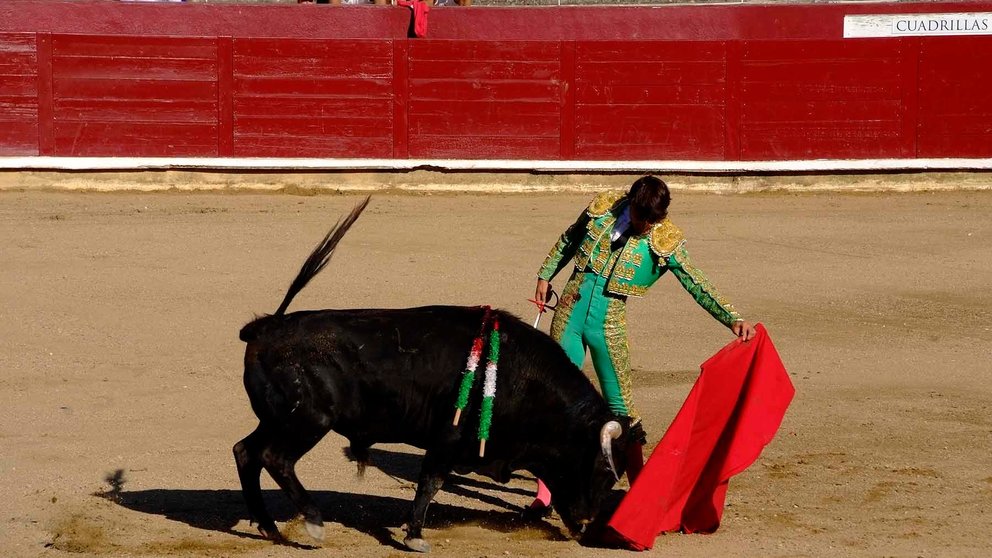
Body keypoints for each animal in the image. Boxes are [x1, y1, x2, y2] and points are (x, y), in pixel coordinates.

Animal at [232, 199, 636, 552]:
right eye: (603, 470)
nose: (585, 524)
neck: (522, 381)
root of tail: (266, 328)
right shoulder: (447, 437)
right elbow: (430, 482)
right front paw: (414, 535)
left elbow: (431, 482)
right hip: (308, 421)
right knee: (275, 458)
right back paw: (313, 523)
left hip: (278, 419)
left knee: (246, 452)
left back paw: (268, 527)